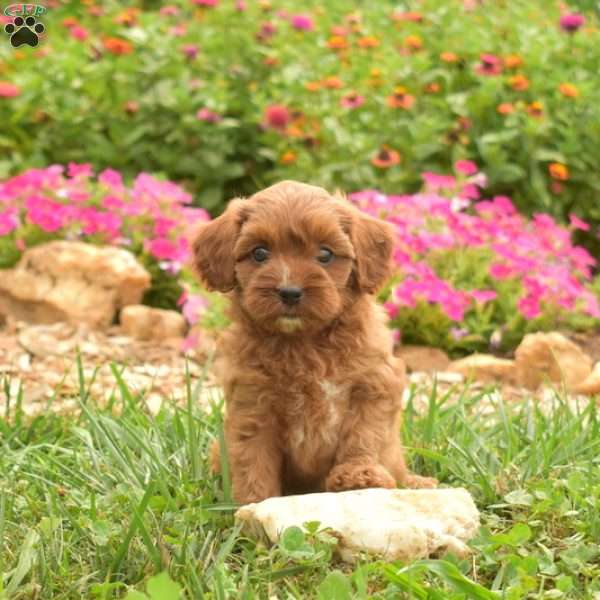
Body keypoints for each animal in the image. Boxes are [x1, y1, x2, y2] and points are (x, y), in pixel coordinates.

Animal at [192, 180, 436, 504]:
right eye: (259, 253)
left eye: (325, 254)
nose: (289, 292)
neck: (303, 342)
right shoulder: (253, 403)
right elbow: (252, 457)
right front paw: (254, 501)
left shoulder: (373, 386)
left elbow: (362, 435)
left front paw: (358, 475)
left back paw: (416, 482)